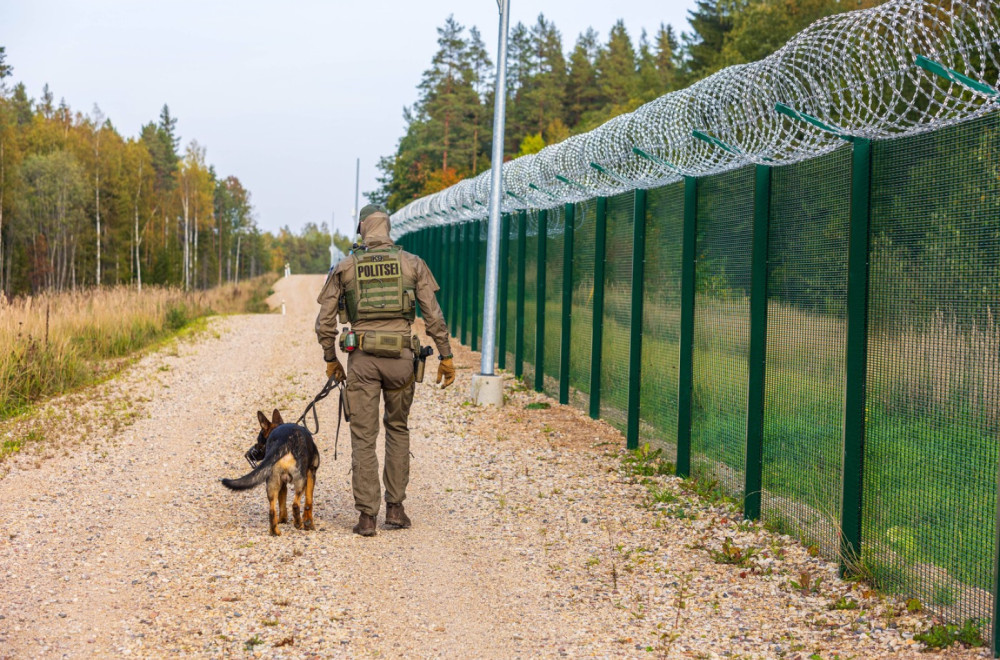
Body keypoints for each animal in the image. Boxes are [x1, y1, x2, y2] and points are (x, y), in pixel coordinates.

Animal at [223, 408, 320, 536]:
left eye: (259, 440)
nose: (250, 453)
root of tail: (284, 440)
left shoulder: (282, 484)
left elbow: (282, 503)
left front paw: (282, 520)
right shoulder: (311, 474)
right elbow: (309, 502)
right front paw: (309, 524)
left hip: (272, 483)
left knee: (272, 511)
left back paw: (275, 531)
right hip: (301, 481)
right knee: (295, 504)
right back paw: (298, 523)